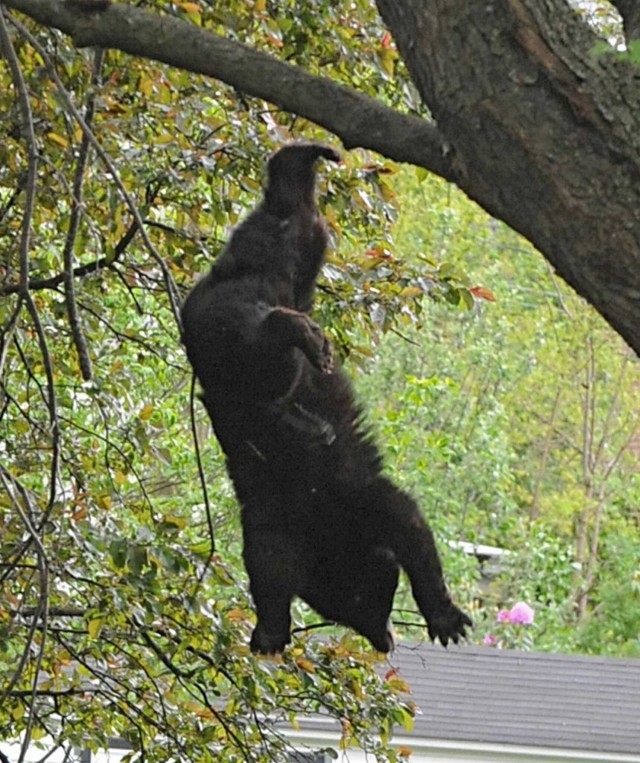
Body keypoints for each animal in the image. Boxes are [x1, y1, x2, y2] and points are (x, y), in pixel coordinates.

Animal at [180, 140, 470, 652]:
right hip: (256, 298)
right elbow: (267, 561)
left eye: (372, 602)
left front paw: (444, 615)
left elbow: (407, 521)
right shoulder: (282, 514)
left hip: (268, 284)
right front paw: (269, 630)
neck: (323, 520)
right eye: (356, 609)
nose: (385, 640)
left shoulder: (350, 495)